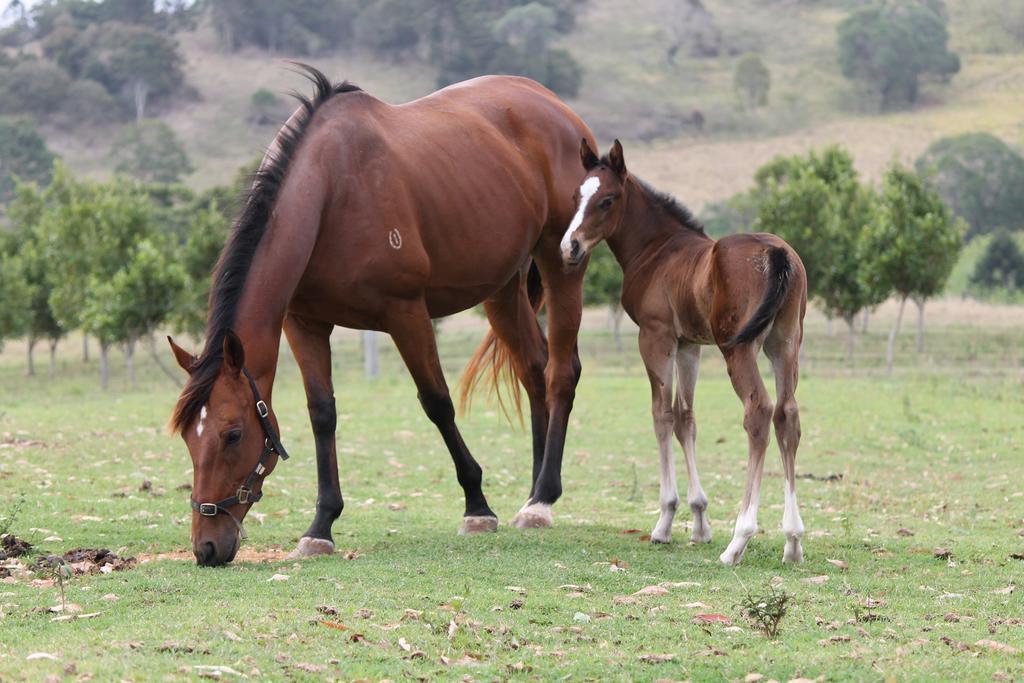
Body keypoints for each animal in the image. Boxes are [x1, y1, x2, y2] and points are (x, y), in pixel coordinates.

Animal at [168, 63, 598, 565]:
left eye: (233, 434)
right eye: (188, 437)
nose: (207, 546)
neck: (331, 192)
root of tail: (557, 107)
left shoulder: (406, 313)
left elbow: (437, 403)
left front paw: (477, 506)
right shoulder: (304, 324)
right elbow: (322, 413)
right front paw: (321, 526)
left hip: (561, 262)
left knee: (560, 372)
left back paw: (543, 498)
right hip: (503, 290)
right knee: (533, 370)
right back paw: (532, 493)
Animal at [561, 140, 806, 565]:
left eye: (608, 200)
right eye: (578, 196)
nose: (570, 247)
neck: (657, 250)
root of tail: (776, 252)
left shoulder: (655, 337)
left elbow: (661, 415)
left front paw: (665, 521)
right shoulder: (689, 345)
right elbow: (685, 418)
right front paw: (699, 522)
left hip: (739, 347)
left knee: (758, 412)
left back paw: (739, 539)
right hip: (785, 344)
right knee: (786, 415)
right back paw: (792, 540)